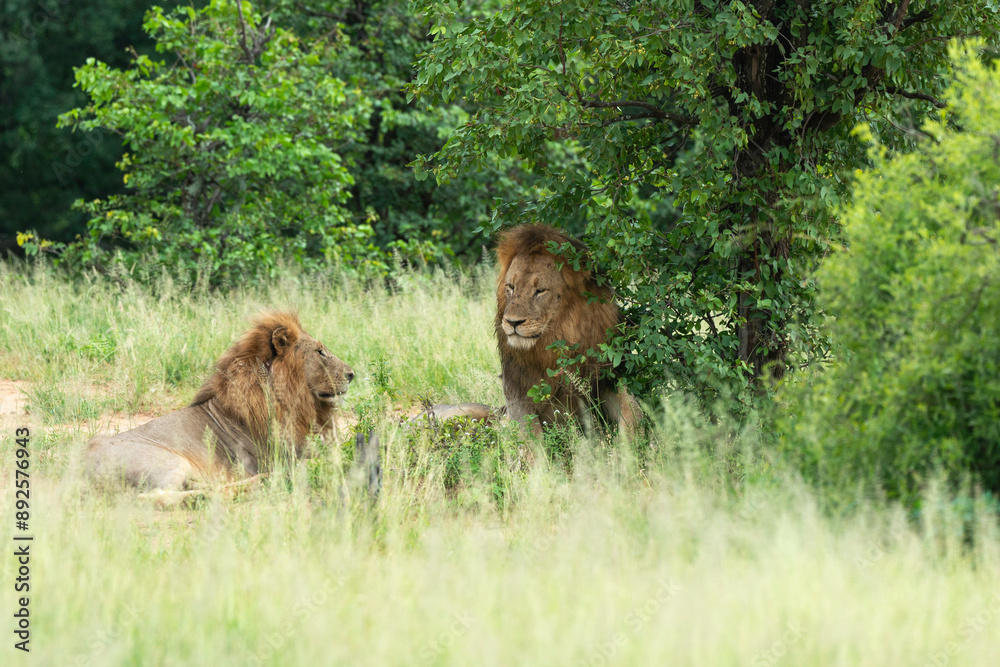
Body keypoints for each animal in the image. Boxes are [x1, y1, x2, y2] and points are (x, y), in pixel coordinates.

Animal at [496, 224, 639, 435]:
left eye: (540, 291)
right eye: (511, 287)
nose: (512, 322)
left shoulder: (605, 377)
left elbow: (632, 410)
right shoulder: (516, 390)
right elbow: (531, 436)